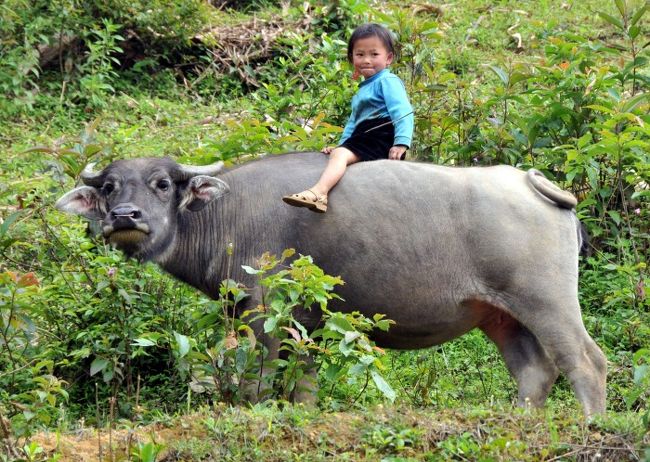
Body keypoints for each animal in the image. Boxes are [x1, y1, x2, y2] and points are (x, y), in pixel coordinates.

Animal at [54, 153, 604, 416]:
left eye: (163, 183)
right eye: (109, 187)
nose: (125, 216)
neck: (224, 212)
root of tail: (532, 182)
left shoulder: (265, 310)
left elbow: (258, 379)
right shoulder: (305, 321)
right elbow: (305, 382)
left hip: (546, 299)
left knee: (584, 361)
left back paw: (590, 422)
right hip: (500, 314)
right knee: (534, 371)